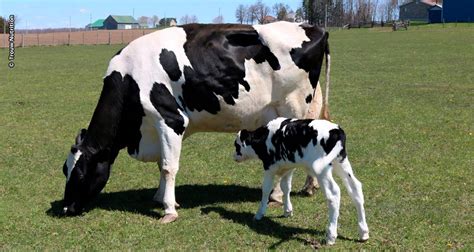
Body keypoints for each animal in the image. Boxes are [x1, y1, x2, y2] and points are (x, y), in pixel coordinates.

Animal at [62, 21, 330, 222]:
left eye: (81, 173)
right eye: (65, 169)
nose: (66, 208)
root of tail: (312, 27)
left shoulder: (170, 120)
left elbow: (168, 166)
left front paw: (169, 210)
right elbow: (162, 164)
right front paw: (160, 197)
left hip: (292, 106)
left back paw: (276, 196)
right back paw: (309, 187)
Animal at [233, 117, 370, 244]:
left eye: (236, 145)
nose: (233, 156)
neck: (266, 136)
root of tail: (336, 130)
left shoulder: (269, 167)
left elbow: (266, 189)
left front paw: (259, 214)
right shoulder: (288, 167)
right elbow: (285, 187)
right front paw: (288, 211)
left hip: (323, 170)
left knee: (334, 193)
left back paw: (331, 236)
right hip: (341, 162)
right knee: (355, 188)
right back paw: (363, 233)